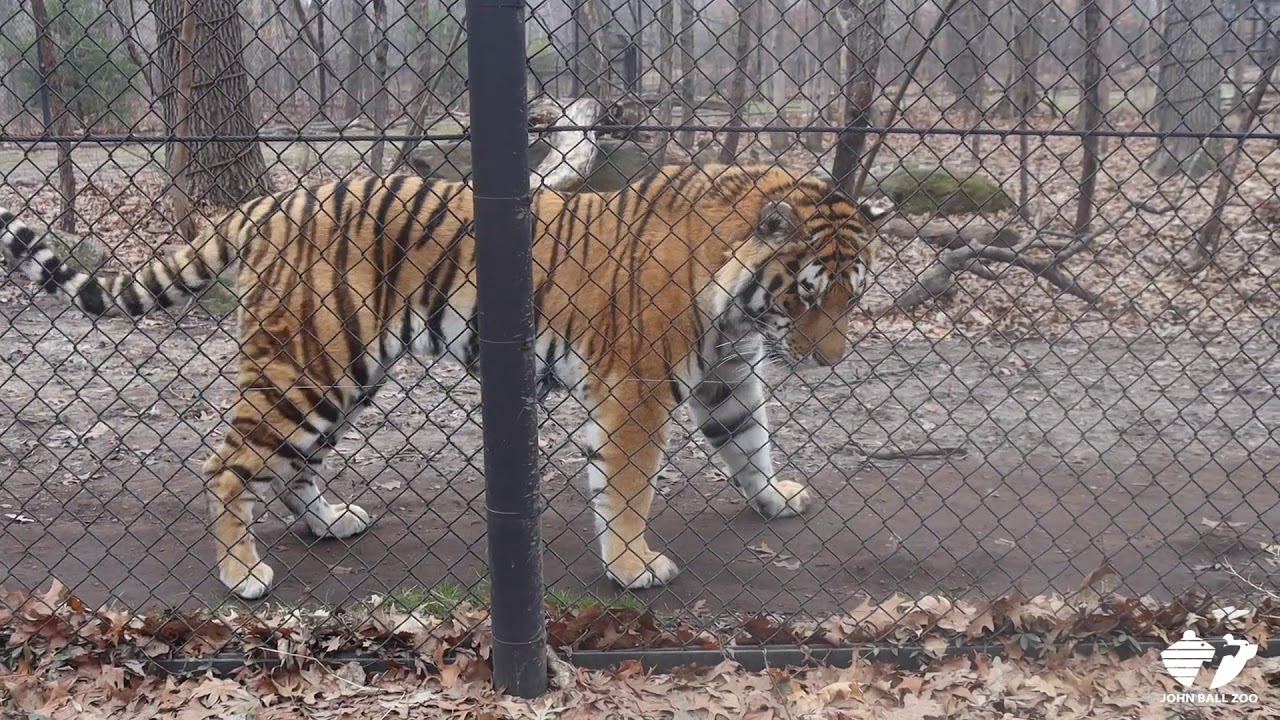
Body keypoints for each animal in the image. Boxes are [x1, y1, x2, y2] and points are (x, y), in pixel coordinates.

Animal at [0, 163, 887, 600]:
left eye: (853, 294)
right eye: (810, 294)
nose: (831, 360)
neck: (740, 304)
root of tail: (273, 201)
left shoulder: (725, 374)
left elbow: (750, 443)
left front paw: (777, 500)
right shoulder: (636, 388)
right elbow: (629, 485)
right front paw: (635, 567)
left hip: (344, 376)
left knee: (295, 466)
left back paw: (330, 523)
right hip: (307, 367)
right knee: (227, 466)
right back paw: (241, 575)